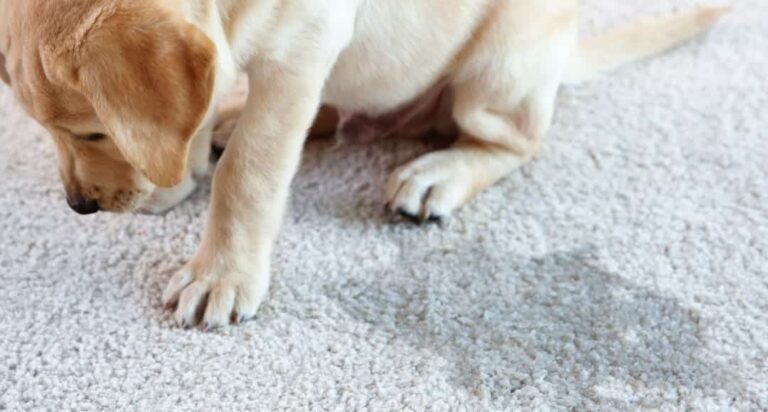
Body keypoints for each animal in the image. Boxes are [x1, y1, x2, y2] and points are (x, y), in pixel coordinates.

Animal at [0, 0, 728, 328]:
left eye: (91, 132)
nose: (79, 207)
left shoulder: (301, 49)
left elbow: (251, 173)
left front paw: (221, 274)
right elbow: (195, 107)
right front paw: (175, 172)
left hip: (502, 61)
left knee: (516, 142)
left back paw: (439, 172)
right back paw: (232, 120)